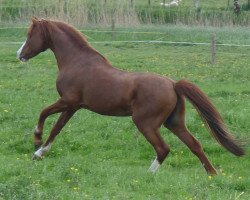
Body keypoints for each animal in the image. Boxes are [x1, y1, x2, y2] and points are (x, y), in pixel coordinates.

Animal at [17, 19, 244, 175]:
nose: (20, 55)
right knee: (195, 145)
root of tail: (172, 84)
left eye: (29, 34)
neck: (77, 62)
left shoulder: (68, 101)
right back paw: (212, 175)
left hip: (145, 122)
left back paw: (149, 174)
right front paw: (40, 153)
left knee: (163, 148)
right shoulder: (74, 106)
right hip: (174, 122)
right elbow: (57, 128)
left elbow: (44, 113)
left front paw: (37, 141)